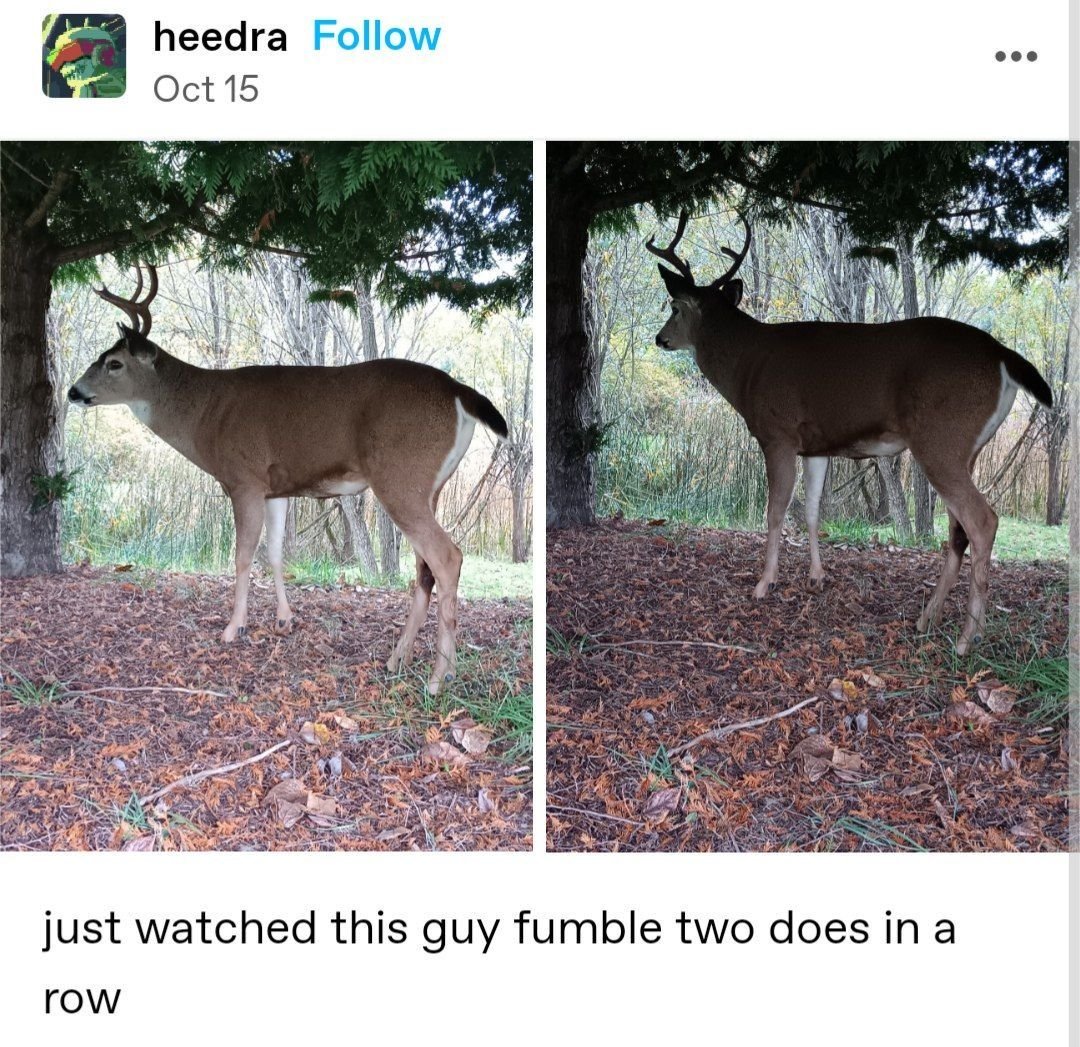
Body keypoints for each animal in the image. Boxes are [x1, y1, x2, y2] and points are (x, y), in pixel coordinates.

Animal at [67, 265, 510, 694]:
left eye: (114, 363)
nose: (73, 391)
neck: (203, 415)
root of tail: (461, 391)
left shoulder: (243, 478)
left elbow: (243, 554)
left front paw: (234, 627)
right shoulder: (275, 488)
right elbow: (276, 552)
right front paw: (284, 619)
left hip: (401, 477)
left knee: (447, 558)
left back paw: (439, 677)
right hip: (430, 487)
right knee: (425, 569)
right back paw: (396, 660)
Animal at [647, 211, 1053, 655]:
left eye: (674, 307)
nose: (660, 338)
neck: (746, 367)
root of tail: (1003, 355)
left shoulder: (777, 433)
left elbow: (775, 511)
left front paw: (764, 583)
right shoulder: (816, 445)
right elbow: (811, 511)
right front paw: (816, 576)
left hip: (940, 440)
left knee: (982, 522)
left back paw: (965, 639)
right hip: (967, 449)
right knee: (958, 532)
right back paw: (926, 620)